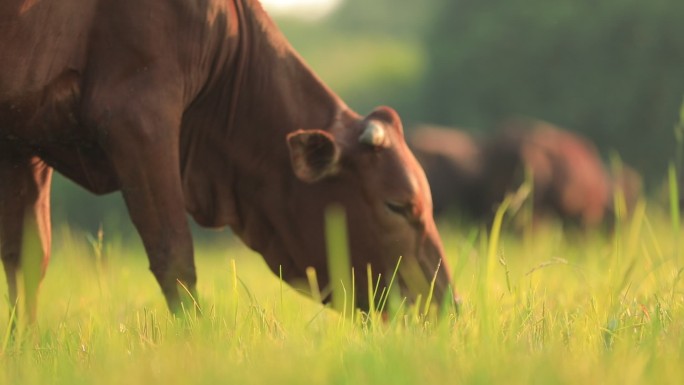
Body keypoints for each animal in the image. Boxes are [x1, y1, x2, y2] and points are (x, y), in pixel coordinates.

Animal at [1, 0, 460, 318]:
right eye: (398, 204)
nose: (450, 307)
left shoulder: (22, 140)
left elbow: (27, 262)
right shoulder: (139, 115)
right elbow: (174, 258)